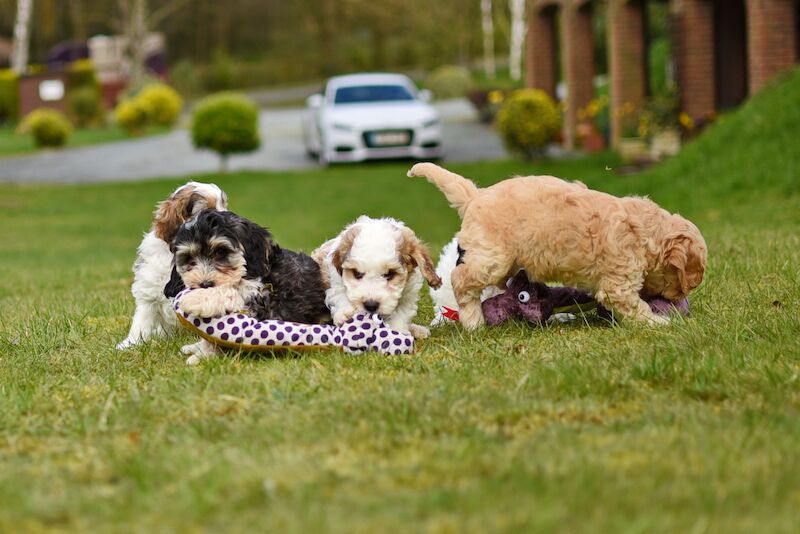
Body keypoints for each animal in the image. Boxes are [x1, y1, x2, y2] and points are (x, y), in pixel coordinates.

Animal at [166, 209, 332, 364]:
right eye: (189, 258)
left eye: (221, 251)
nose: (205, 284)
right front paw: (202, 349)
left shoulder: (264, 302)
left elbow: (234, 292)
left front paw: (199, 299)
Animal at [316, 217, 444, 340]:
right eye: (357, 273)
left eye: (390, 274)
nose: (370, 305)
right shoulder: (332, 276)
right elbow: (339, 293)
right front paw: (346, 313)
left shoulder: (408, 293)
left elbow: (401, 315)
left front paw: (397, 333)